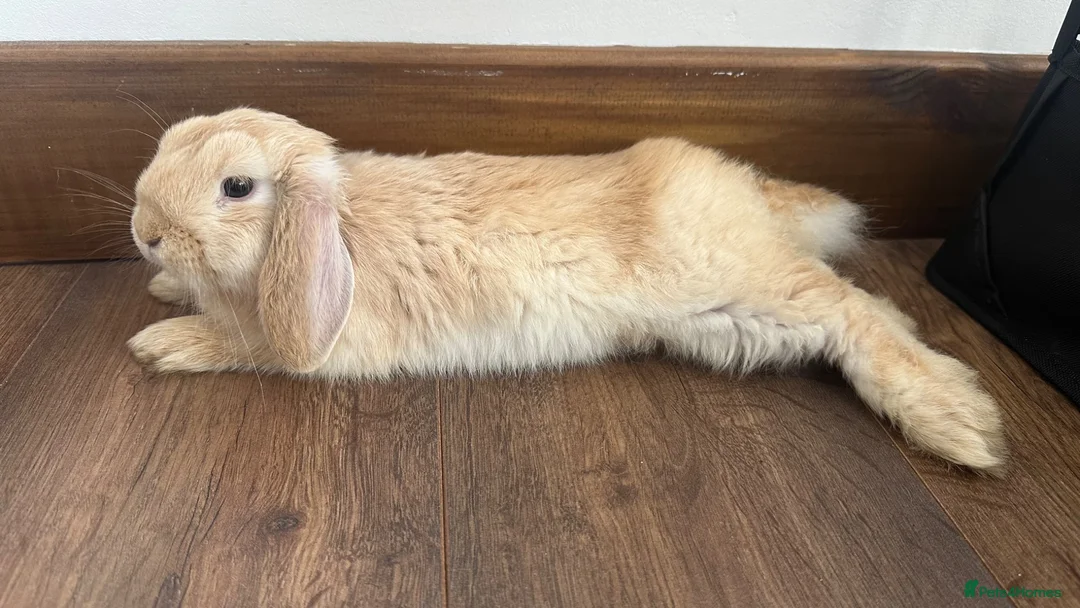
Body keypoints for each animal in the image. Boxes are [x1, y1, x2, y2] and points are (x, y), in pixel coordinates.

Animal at [127, 108, 1006, 474]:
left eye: (237, 187)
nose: (145, 232)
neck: (329, 226)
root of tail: (746, 191)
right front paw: (165, 288)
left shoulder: (318, 339)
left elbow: (247, 343)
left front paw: (160, 344)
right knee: (868, 305)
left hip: (739, 293)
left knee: (851, 310)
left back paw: (962, 422)